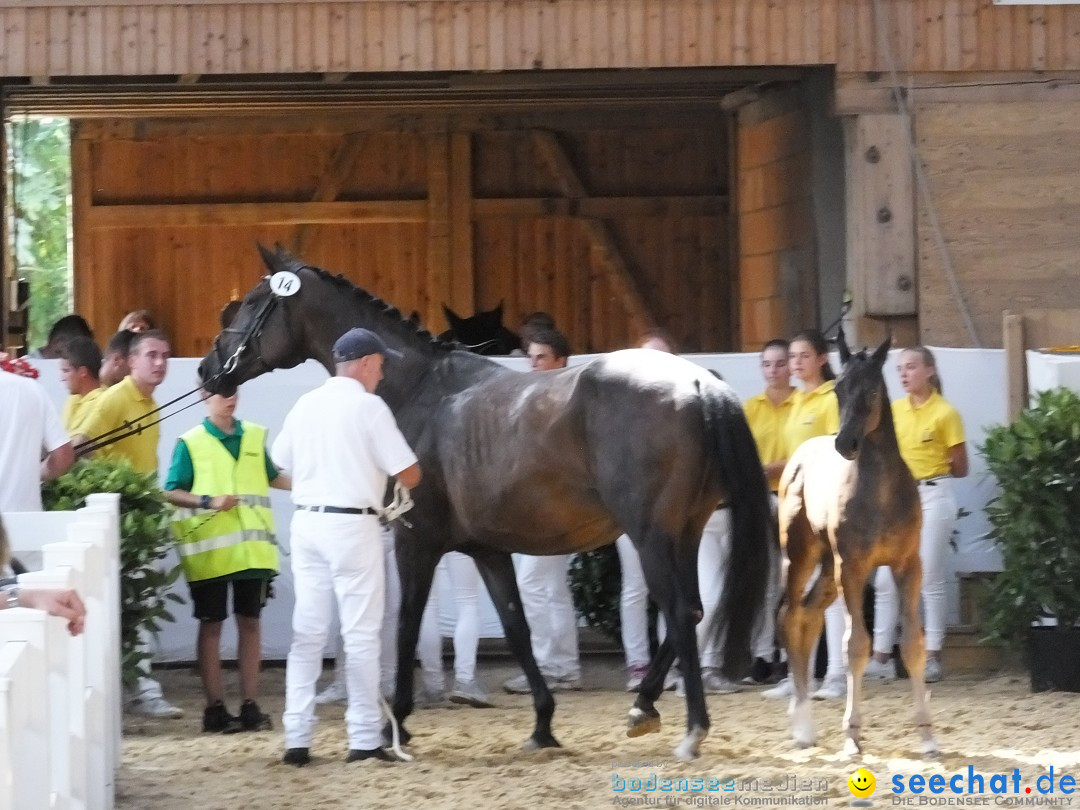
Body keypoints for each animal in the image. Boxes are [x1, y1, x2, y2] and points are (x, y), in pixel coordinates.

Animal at [200, 246, 777, 760]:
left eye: (251, 303)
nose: (210, 369)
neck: (418, 390)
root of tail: (698, 382)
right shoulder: (488, 550)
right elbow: (518, 628)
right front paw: (543, 726)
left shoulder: (416, 541)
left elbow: (406, 624)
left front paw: (397, 724)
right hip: (685, 531)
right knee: (695, 610)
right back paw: (641, 708)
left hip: (651, 535)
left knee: (679, 612)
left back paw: (691, 728)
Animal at [777, 326, 937, 760]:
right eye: (838, 389)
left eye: (873, 390)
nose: (845, 443)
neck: (878, 492)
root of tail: (797, 455)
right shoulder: (852, 568)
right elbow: (856, 645)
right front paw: (851, 736)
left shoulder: (907, 565)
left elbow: (913, 645)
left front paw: (928, 737)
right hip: (802, 556)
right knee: (789, 615)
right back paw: (802, 724)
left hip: (828, 570)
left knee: (809, 615)